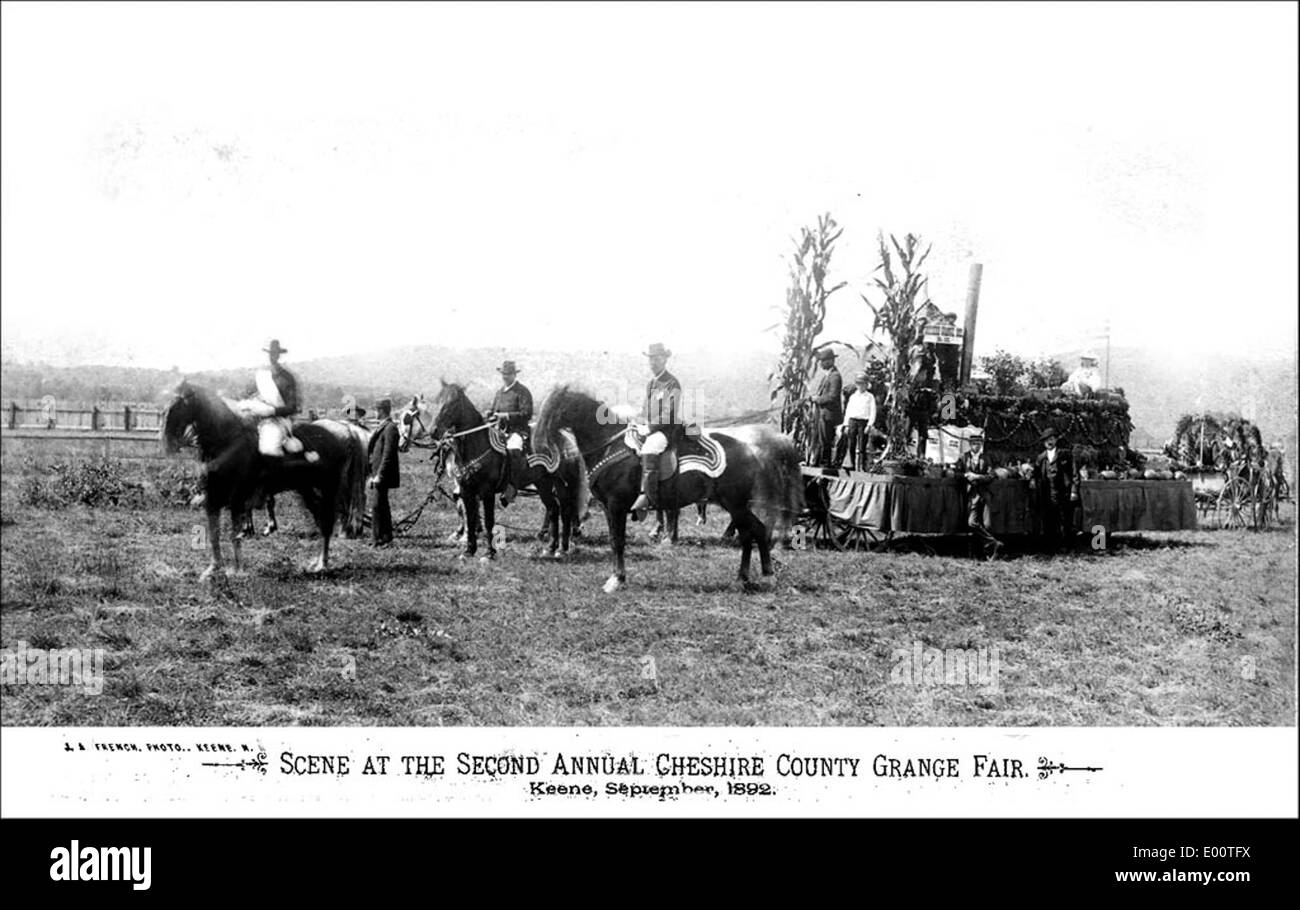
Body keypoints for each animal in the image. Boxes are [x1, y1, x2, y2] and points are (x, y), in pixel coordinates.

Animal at [161, 379, 369, 579]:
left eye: (179, 404)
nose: (169, 442)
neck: (227, 439)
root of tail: (345, 431)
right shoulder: (213, 495)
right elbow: (214, 533)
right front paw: (213, 568)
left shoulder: (236, 497)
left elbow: (234, 533)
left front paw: (237, 569)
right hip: (309, 490)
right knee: (322, 521)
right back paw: (318, 562)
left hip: (328, 490)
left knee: (327, 522)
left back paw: (322, 564)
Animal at [395, 379, 590, 559]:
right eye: (437, 400)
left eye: (453, 403)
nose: (434, 430)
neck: (475, 445)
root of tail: (564, 436)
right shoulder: (466, 489)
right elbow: (468, 514)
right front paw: (469, 549)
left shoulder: (487, 491)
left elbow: (488, 520)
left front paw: (489, 552)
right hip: (543, 483)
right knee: (553, 508)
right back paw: (551, 547)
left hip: (560, 482)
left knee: (565, 508)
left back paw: (562, 548)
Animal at [530, 384, 800, 590]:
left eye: (553, 410)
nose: (538, 445)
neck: (608, 445)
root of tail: (752, 449)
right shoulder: (608, 507)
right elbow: (614, 540)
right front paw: (617, 576)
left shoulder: (617, 506)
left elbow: (618, 541)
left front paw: (617, 579)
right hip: (735, 505)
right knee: (752, 533)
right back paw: (746, 577)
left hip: (736, 504)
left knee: (754, 532)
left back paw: (764, 576)